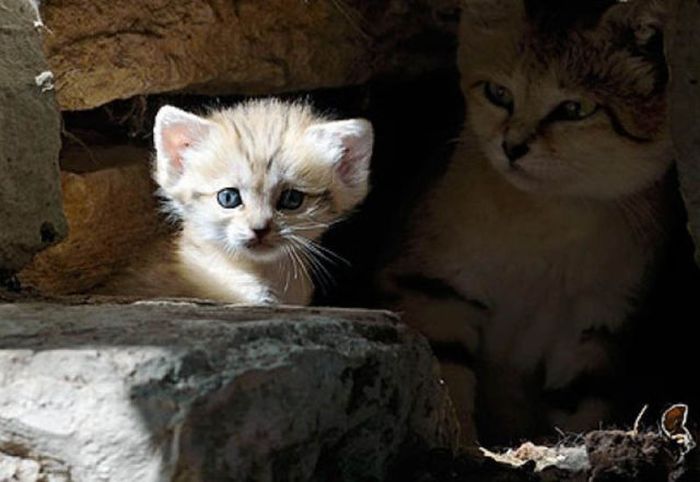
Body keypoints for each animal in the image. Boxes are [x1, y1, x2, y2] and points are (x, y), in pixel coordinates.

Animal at [382, 0, 672, 444]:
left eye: (574, 109)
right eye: (498, 93)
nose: (512, 147)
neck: (548, 216)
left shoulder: (595, 323)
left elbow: (583, 404)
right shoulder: (433, 288)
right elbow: (447, 379)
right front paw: (465, 446)